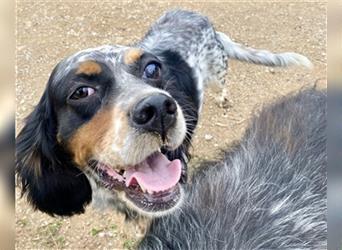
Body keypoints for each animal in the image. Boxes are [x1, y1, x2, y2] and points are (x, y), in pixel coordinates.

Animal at [16, 9, 312, 217]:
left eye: (153, 68)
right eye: (81, 92)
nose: (158, 108)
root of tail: (195, 14)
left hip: (217, 69)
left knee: (222, 84)